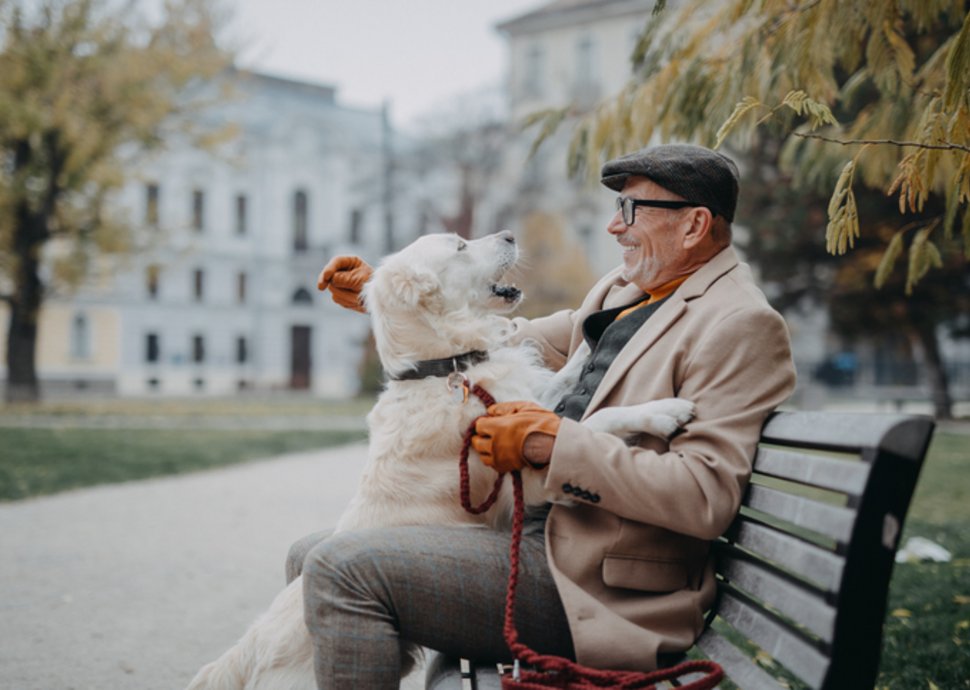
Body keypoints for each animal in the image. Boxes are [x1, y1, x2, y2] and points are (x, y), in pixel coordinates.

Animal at [185, 232, 692, 688]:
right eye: (461, 246)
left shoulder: (524, 401)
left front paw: (599, 324)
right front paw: (661, 411)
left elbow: (563, 377)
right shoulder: (529, 478)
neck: (447, 369)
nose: (510, 234)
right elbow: (593, 421)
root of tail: (245, 655)